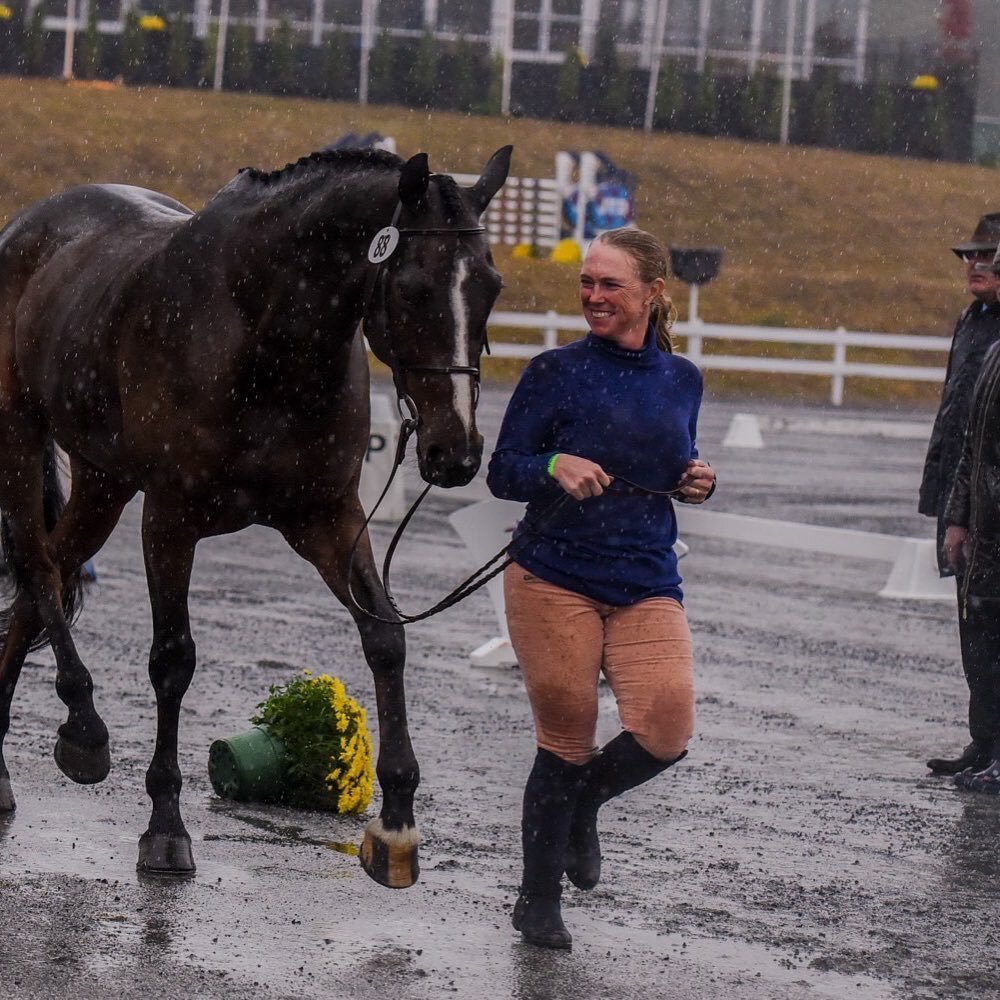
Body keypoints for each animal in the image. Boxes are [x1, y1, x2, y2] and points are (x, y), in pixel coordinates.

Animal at [0, 145, 508, 888]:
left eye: (491, 288)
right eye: (415, 287)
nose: (457, 452)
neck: (264, 328)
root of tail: (27, 227)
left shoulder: (328, 519)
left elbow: (385, 639)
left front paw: (396, 826)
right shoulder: (171, 519)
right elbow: (173, 660)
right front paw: (165, 828)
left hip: (102, 482)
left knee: (44, 587)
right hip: (20, 435)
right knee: (38, 569)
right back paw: (84, 729)